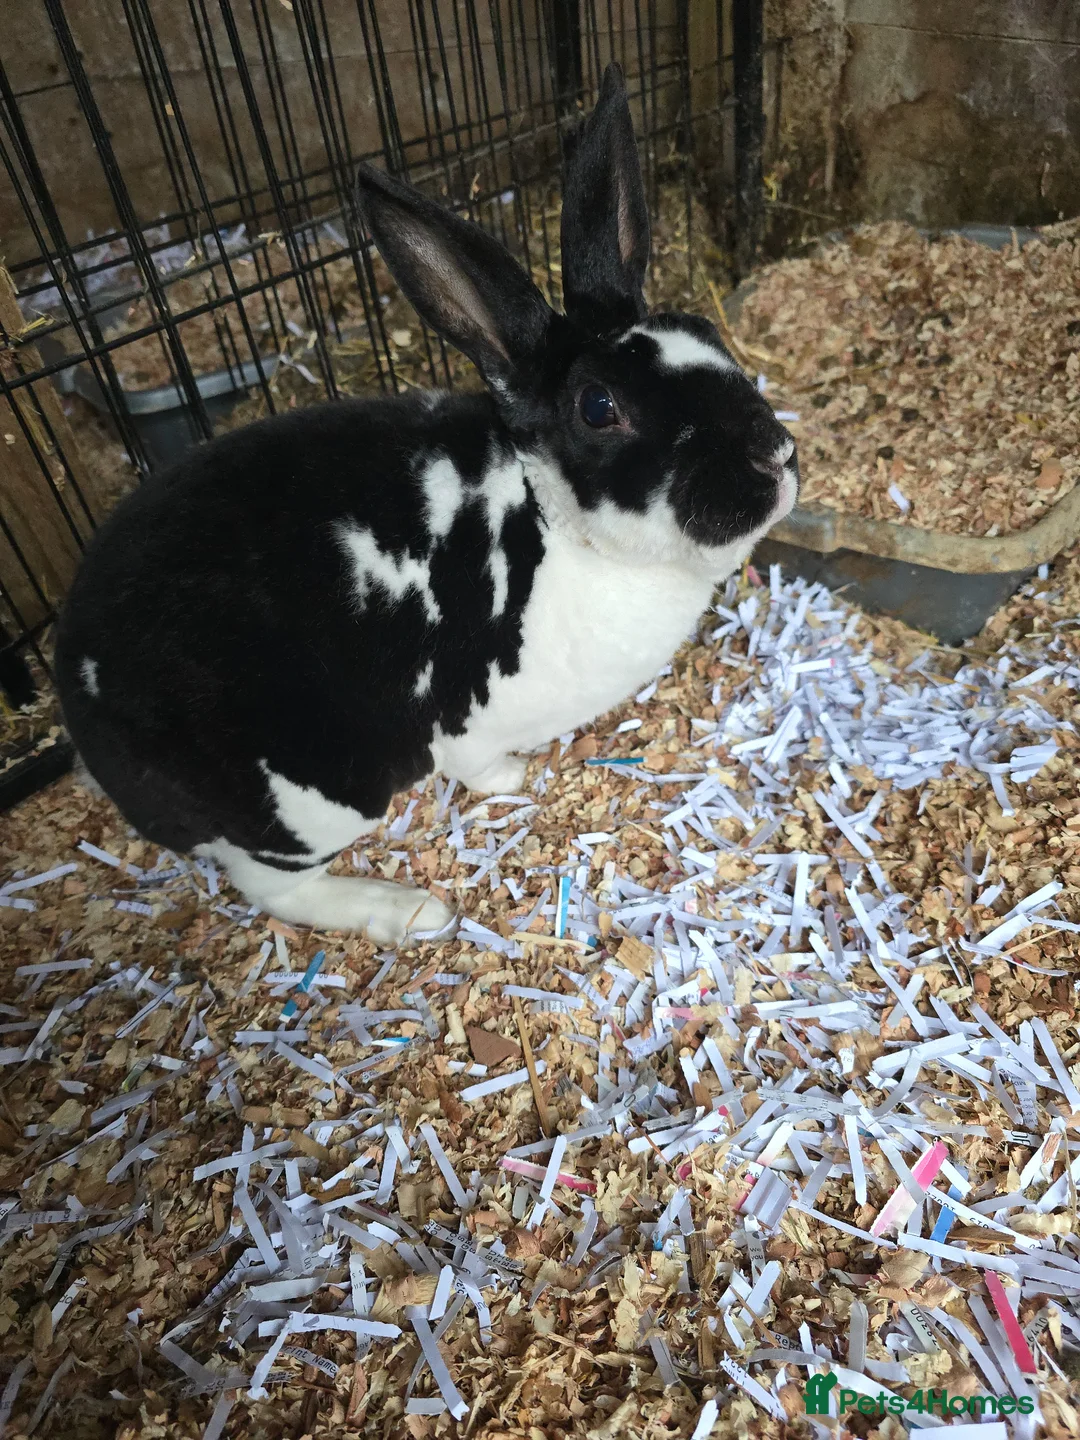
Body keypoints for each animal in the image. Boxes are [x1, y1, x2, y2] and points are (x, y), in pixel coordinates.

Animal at [54, 63, 798, 943]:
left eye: (702, 330)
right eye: (598, 407)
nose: (775, 455)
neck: (560, 527)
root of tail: (78, 697)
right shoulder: (467, 718)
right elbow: (477, 765)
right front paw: (514, 778)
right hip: (310, 799)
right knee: (270, 887)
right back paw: (410, 912)